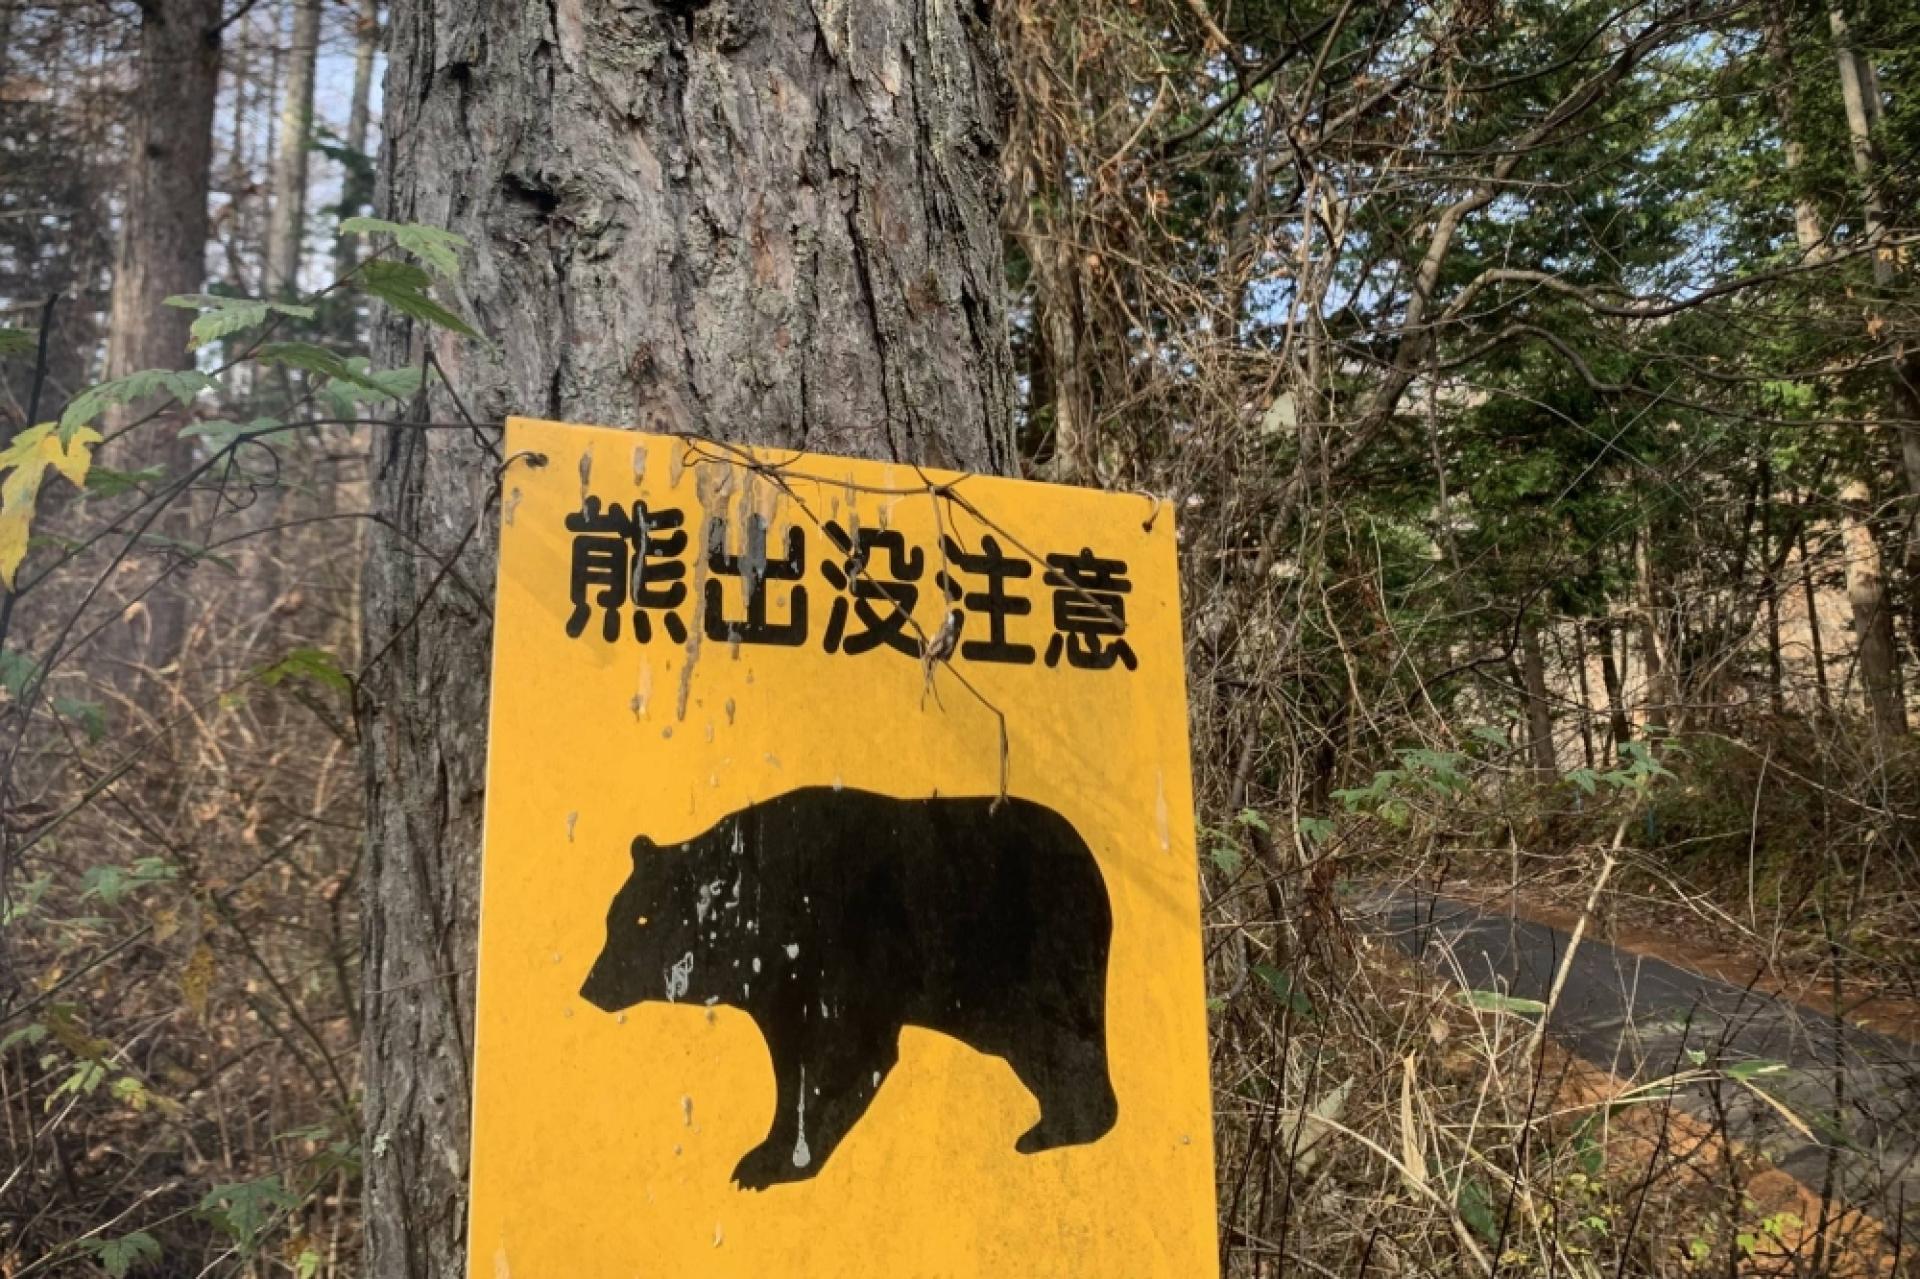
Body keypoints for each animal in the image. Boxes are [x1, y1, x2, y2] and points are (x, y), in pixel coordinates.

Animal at [579, 786, 1118, 1189]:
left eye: (642, 919)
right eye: (612, 918)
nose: (591, 987)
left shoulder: (841, 957)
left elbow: (846, 1055)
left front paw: (769, 1165)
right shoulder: (779, 990)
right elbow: (794, 1064)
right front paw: (767, 1152)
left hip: (1032, 957)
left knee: (1059, 1041)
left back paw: (1056, 1130)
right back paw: (1052, 1128)